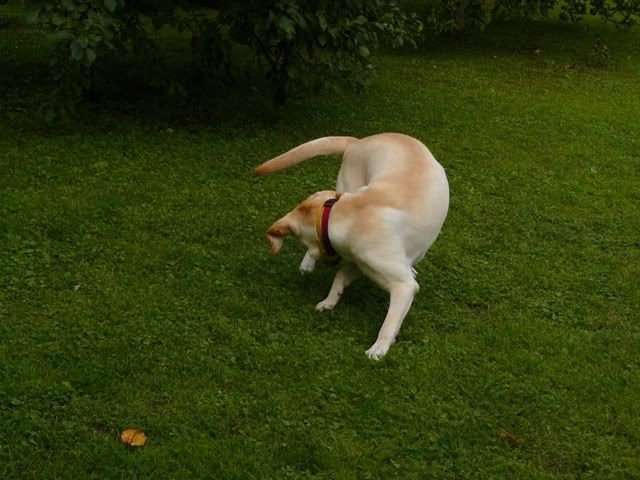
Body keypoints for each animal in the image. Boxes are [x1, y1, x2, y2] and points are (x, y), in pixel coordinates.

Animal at [256, 133, 449, 359]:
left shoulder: (403, 286)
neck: (341, 215)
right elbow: (340, 277)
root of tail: (359, 141)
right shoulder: (359, 263)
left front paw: (379, 348)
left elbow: (389, 321)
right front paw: (329, 301)